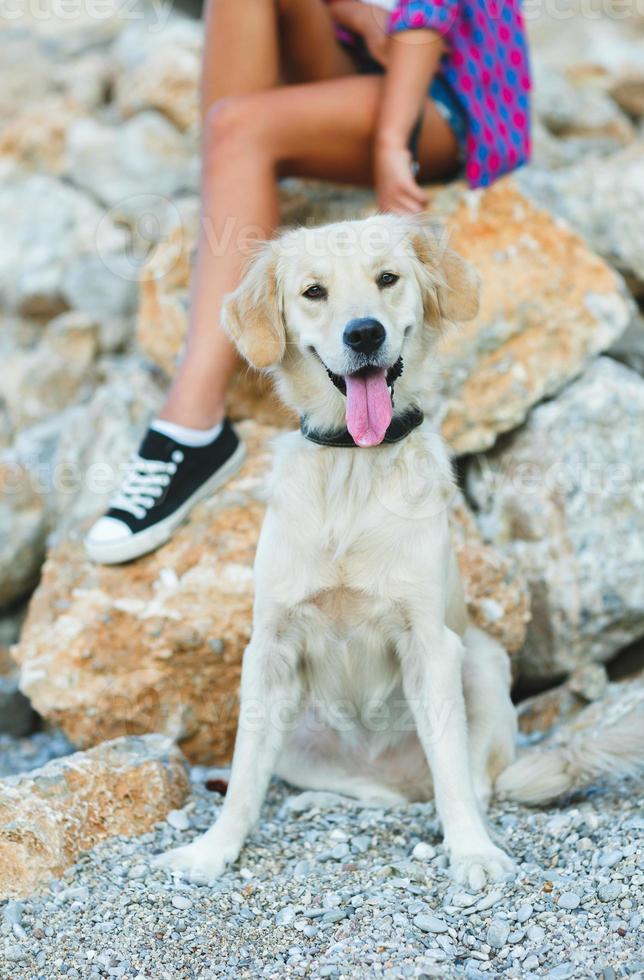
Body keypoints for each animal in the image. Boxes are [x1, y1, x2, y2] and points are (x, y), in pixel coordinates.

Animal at [155, 218, 644, 892]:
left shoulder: (430, 646)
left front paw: (472, 853)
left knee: (465, 781)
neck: (353, 466)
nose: (364, 332)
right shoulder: (270, 651)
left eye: (387, 278)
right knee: (370, 791)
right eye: (313, 292)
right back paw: (325, 800)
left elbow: (453, 775)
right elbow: (245, 777)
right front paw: (212, 851)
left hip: (482, 661)